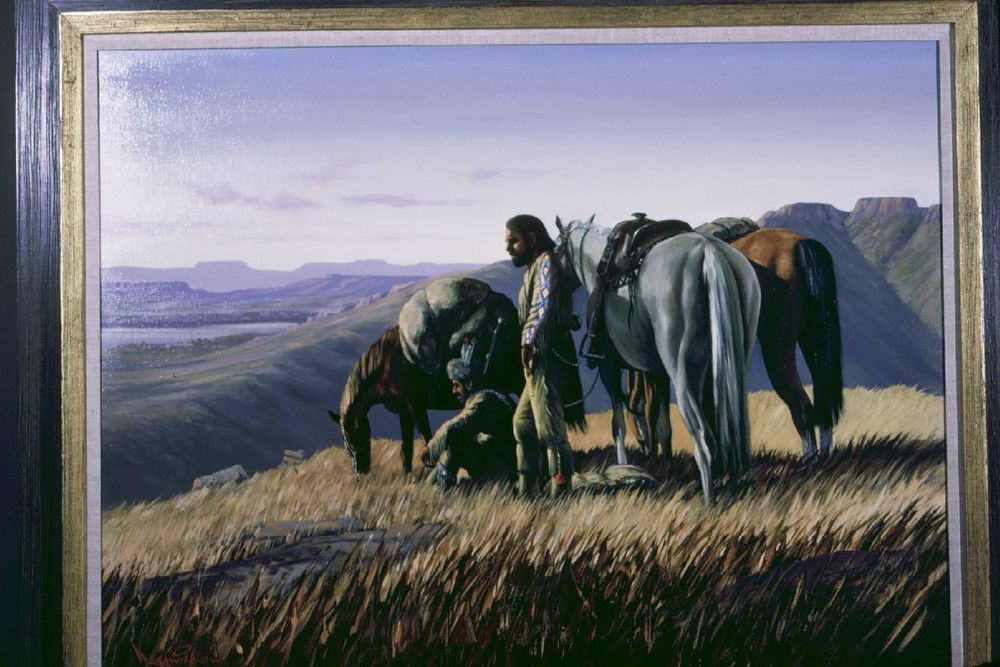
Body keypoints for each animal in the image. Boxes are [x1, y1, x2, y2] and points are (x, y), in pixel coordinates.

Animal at [328, 325, 524, 474]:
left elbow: (427, 438)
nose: (359, 473)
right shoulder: (404, 412)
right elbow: (406, 450)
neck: (387, 363)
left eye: (348, 439)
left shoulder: (415, 406)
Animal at [554, 216, 761, 504]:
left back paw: (709, 501)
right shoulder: (658, 373)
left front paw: (622, 468)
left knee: (705, 441)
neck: (601, 263)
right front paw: (667, 466)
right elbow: (664, 427)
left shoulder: (609, 367)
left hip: (683, 378)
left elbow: (618, 425)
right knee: (729, 433)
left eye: (556, 249)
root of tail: (710, 253)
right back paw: (731, 489)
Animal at [627, 226, 843, 461]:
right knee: (823, 400)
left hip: (777, 347)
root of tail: (800, 243)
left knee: (800, 403)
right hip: (813, 339)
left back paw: (810, 458)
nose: (643, 447)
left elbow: (654, 409)